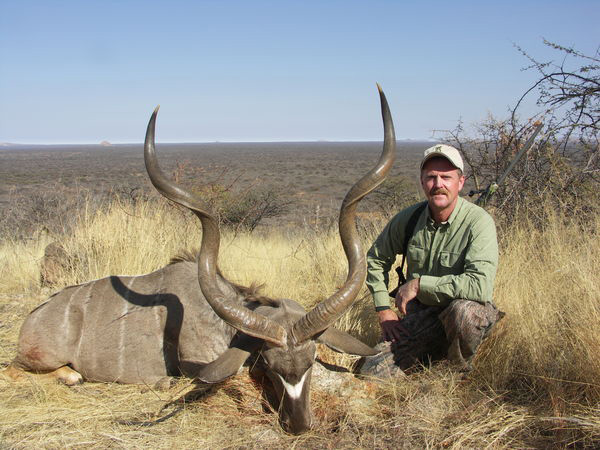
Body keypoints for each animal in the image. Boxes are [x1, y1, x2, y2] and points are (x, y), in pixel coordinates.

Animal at [5, 86, 396, 434]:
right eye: (268, 364)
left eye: (311, 360)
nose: (299, 425)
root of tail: (35, 317)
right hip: (37, 359)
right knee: (19, 370)